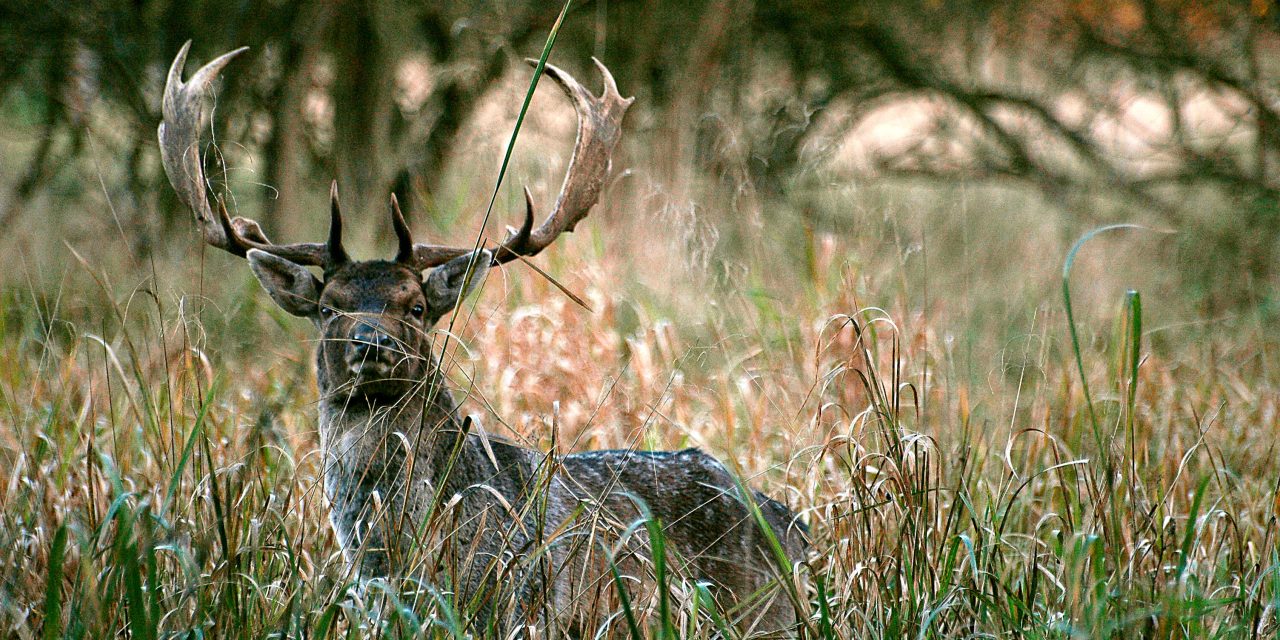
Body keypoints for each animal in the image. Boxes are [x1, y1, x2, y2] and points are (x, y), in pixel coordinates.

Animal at [157, 42, 798, 637]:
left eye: (416, 307)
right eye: (327, 307)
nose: (372, 343)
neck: (401, 566)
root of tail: (797, 530)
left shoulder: (520, 606)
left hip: (763, 616)